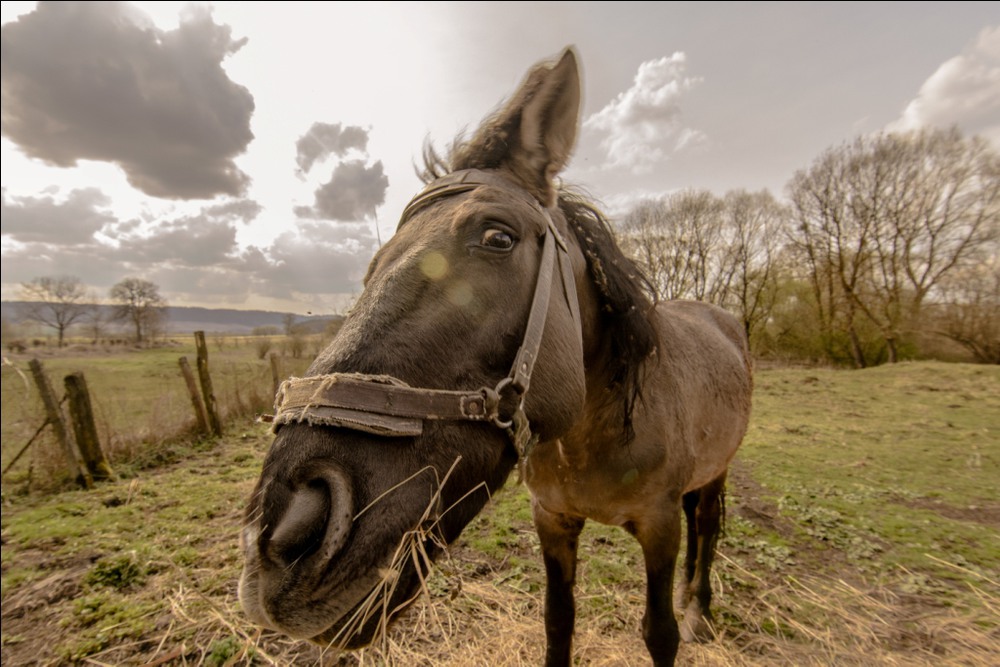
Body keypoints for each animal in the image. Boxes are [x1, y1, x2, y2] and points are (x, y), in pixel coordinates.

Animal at [240, 48, 752, 667]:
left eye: (498, 238)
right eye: (374, 262)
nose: (279, 533)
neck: (593, 437)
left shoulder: (658, 526)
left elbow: (660, 633)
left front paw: (681, 617)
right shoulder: (552, 520)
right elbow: (558, 622)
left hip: (716, 473)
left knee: (707, 525)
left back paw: (697, 605)